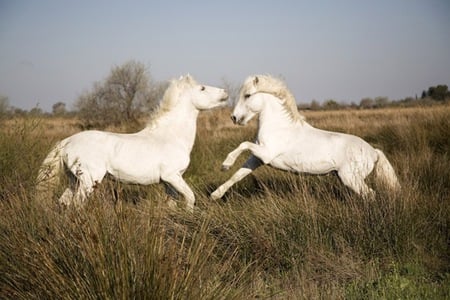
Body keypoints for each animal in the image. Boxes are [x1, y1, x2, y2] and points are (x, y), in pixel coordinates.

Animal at [37, 75, 229, 211]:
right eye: (202, 88)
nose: (225, 93)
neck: (171, 136)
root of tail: (67, 141)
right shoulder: (172, 176)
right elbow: (190, 197)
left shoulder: (170, 182)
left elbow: (171, 204)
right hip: (88, 180)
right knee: (76, 205)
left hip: (74, 180)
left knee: (63, 202)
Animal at [209, 74, 400, 199]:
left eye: (247, 95)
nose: (234, 118)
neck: (279, 127)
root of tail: (373, 152)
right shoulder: (257, 158)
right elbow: (238, 174)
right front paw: (215, 195)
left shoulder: (266, 154)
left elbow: (243, 144)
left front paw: (225, 164)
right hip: (346, 178)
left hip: (351, 178)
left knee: (370, 195)